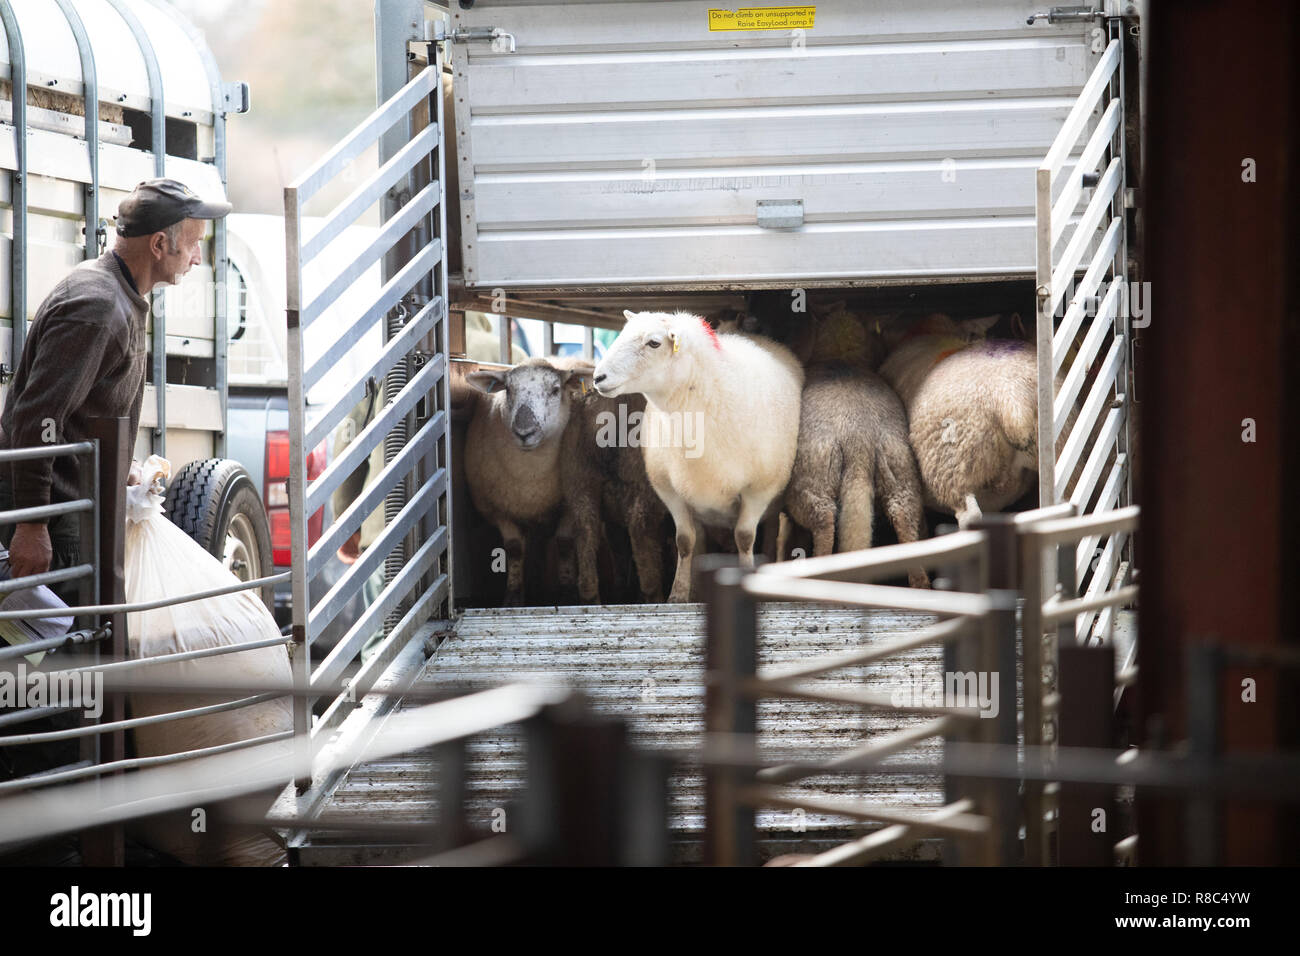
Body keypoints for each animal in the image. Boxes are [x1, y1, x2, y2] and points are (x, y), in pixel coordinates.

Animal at [465, 358, 592, 606]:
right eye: (508, 390)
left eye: (555, 390)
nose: (525, 432)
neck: (530, 475)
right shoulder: (499, 510)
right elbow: (514, 549)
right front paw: (513, 597)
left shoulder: (569, 506)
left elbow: (564, 543)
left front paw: (568, 593)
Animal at [592, 310, 800, 600]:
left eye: (654, 343)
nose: (598, 377)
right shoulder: (668, 489)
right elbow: (685, 541)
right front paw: (678, 594)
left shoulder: (760, 489)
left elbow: (745, 537)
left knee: (769, 536)